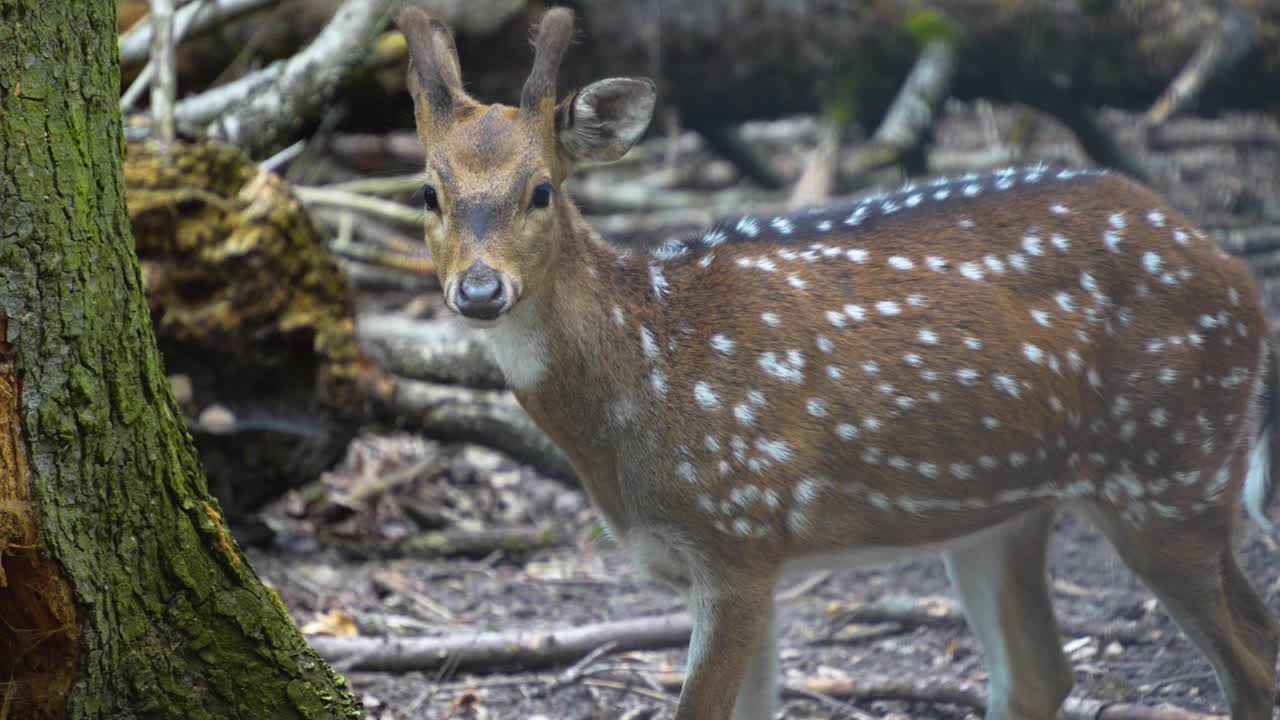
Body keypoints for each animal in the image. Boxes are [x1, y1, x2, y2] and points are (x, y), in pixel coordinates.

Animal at [399, 4, 1280, 712]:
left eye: (542, 189)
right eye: (427, 193)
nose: (480, 289)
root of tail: (1242, 281)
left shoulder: (741, 533)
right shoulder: (715, 565)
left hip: (1170, 470)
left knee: (1251, 667)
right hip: (1009, 510)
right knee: (1044, 672)